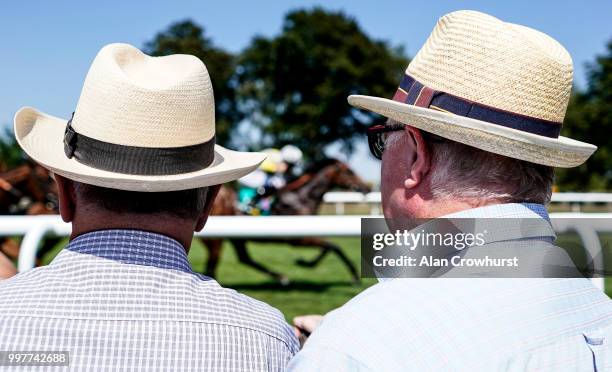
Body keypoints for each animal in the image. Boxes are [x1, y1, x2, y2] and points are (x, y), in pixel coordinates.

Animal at [203, 158, 370, 284]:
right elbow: (334, 247)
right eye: (349, 171)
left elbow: (329, 247)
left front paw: (305, 263)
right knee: (213, 263)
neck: (302, 198)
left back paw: (281, 277)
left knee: (244, 258)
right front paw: (355, 276)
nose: (367, 188)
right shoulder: (298, 239)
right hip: (216, 239)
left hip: (236, 238)